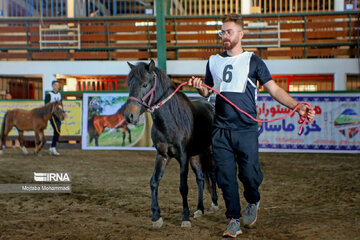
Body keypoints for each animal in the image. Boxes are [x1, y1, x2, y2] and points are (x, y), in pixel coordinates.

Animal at [124, 60, 219, 229]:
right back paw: (199, 209)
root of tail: (210, 106)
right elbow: (154, 182)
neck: (171, 120)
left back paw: (214, 204)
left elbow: (183, 187)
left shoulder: (183, 157)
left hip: (209, 151)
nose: (129, 116)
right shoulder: (162, 155)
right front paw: (156, 217)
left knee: (213, 174)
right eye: (130, 84)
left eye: (145, 84)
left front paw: (185, 218)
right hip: (195, 155)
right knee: (200, 178)